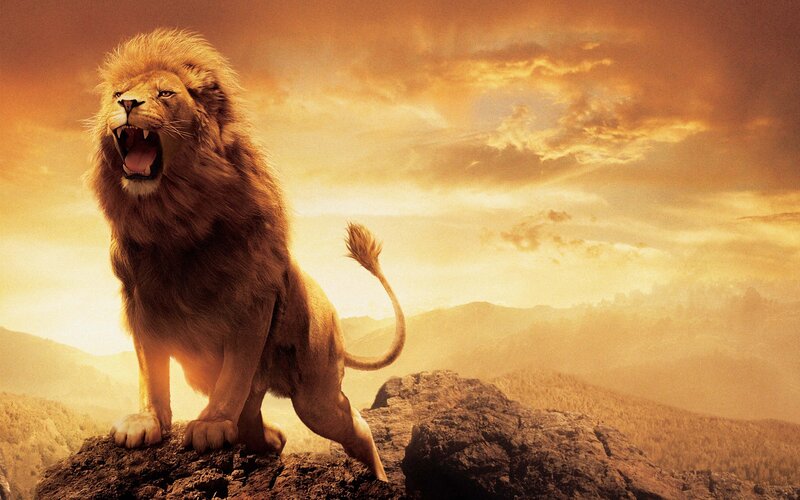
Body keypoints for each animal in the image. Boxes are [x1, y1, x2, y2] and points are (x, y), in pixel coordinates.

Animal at [89, 29, 405, 481]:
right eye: (117, 94)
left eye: (165, 93)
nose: (128, 105)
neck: (173, 219)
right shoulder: (141, 301)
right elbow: (152, 370)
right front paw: (146, 421)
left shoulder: (251, 301)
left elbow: (234, 374)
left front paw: (211, 424)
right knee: (257, 418)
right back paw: (270, 439)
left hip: (317, 395)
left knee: (353, 425)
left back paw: (379, 477)